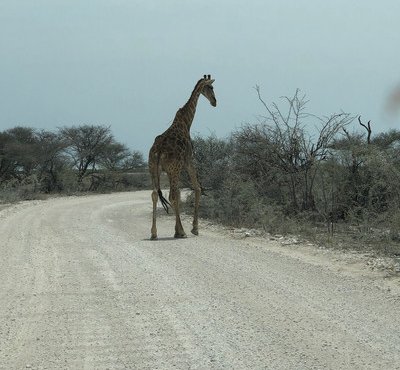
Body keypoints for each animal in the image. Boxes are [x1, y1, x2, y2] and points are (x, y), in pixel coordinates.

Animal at [148, 74, 217, 240]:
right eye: (211, 87)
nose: (214, 102)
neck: (186, 122)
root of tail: (158, 151)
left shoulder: (173, 169)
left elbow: (180, 193)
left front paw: (177, 230)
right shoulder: (188, 161)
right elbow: (197, 188)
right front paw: (194, 229)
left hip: (153, 169)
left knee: (155, 194)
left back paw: (154, 233)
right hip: (174, 169)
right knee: (172, 195)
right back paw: (183, 232)